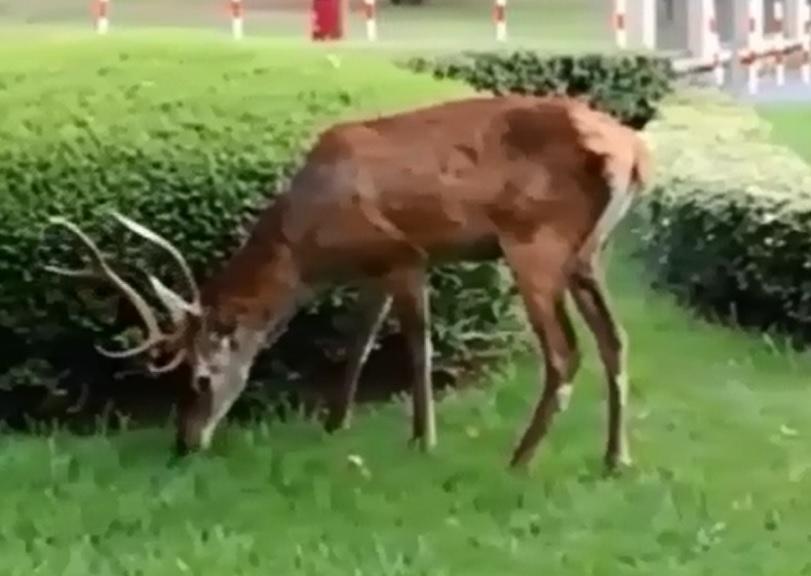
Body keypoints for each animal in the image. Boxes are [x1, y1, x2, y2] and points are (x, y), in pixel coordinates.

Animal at [46, 93, 652, 473]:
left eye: (198, 378)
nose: (185, 443)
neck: (308, 247)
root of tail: (634, 153)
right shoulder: (374, 268)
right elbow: (358, 344)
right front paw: (336, 424)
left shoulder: (405, 254)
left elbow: (416, 349)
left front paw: (422, 439)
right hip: (589, 255)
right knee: (616, 339)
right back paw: (615, 458)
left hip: (535, 242)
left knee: (565, 352)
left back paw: (520, 459)